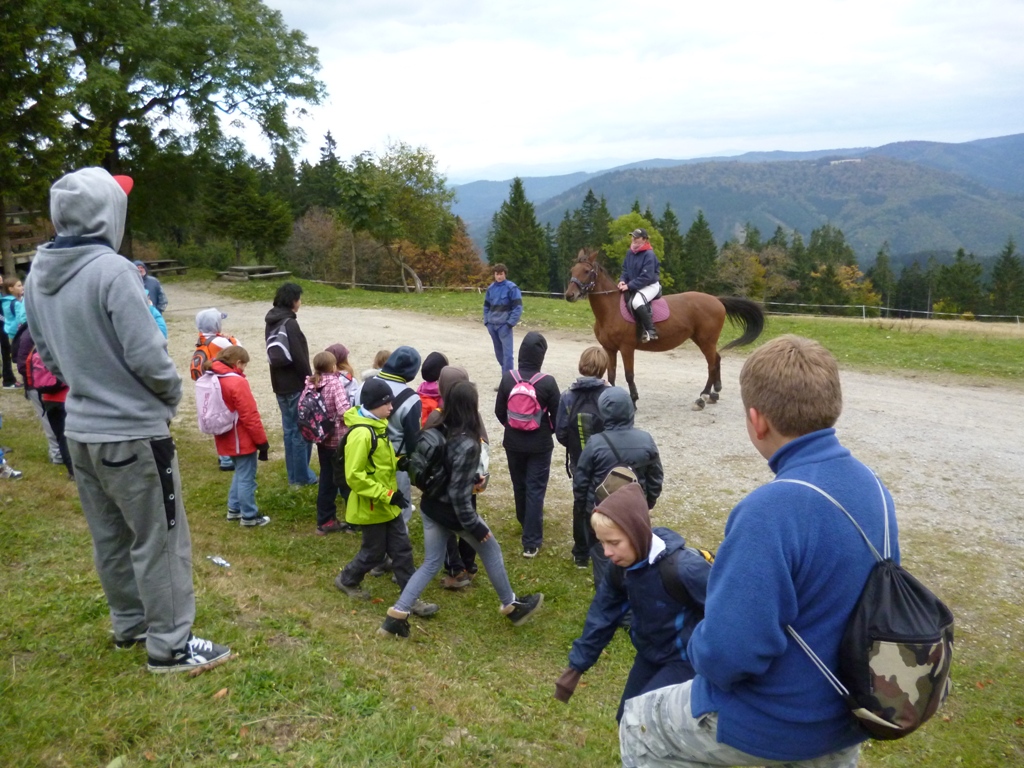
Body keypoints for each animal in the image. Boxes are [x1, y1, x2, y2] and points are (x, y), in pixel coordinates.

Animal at [565, 250, 765, 409]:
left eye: (586, 271)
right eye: (572, 270)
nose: (569, 295)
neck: (612, 309)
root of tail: (716, 300)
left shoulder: (627, 348)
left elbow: (629, 375)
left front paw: (634, 400)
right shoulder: (609, 349)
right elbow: (612, 374)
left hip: (706, 341)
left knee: (712, 364)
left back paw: (702, 397)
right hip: (702, 340)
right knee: (716, 360)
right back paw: (714, 394)